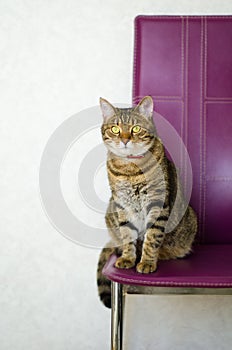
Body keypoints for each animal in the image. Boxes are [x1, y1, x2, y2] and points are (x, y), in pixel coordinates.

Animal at [97, 95, 197, 306]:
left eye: (135, 129)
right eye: (115, 129)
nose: (125, 140)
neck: (130, 169)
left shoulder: (157, 204)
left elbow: (152, 238)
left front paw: (147, 262)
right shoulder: (122, 206)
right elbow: (127, 235)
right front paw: (128, 257)